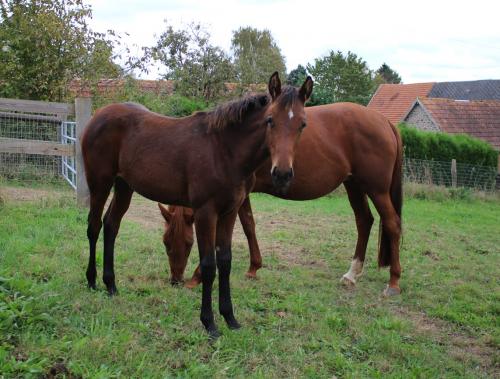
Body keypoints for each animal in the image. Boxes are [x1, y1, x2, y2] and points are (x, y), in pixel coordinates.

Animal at [82, 72, 314, 336]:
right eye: (270, 120)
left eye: (303, 124)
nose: (282, 174)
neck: (225, 150)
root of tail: (99, 115)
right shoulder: (206, 212)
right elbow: (209, 264)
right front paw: (209, 323)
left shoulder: (229, 212)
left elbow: (225, 261)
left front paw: (230, 318)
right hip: (100, 183)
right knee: (94, 226)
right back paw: (91, 281)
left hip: (124, 186)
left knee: (111, 225)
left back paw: (111, 285)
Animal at [159, 103, 402, 296]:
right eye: (166, 241)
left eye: (187, 242)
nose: (175, 280)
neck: (224, 142)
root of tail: (384, 121)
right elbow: (249, 225)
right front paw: (254, 268)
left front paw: (197, 277)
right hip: (354, 185)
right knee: (364, 221)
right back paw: (352, 274)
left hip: (377, 190)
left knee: (392, 224)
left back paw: (393, 282)